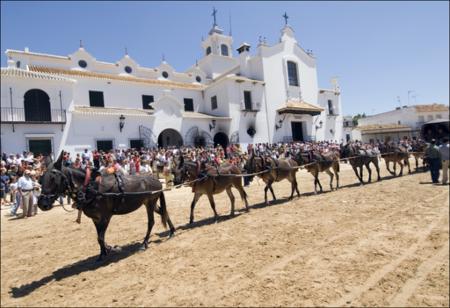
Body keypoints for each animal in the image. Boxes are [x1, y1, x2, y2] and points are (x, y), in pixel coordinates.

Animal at [37, 153, 176, 262]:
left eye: (53, 178)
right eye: (41, 179)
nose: (41, 204)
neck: (91, 188)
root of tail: (157, 180)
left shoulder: (105, 217)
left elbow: (100, 237)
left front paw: (110, 249)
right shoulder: (95, 218)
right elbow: (99, 238)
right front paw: (103, 252)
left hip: (150, 202)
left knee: (151, 222)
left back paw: (145, 243)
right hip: (148, 203)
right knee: (163, 212)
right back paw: (172, 231)